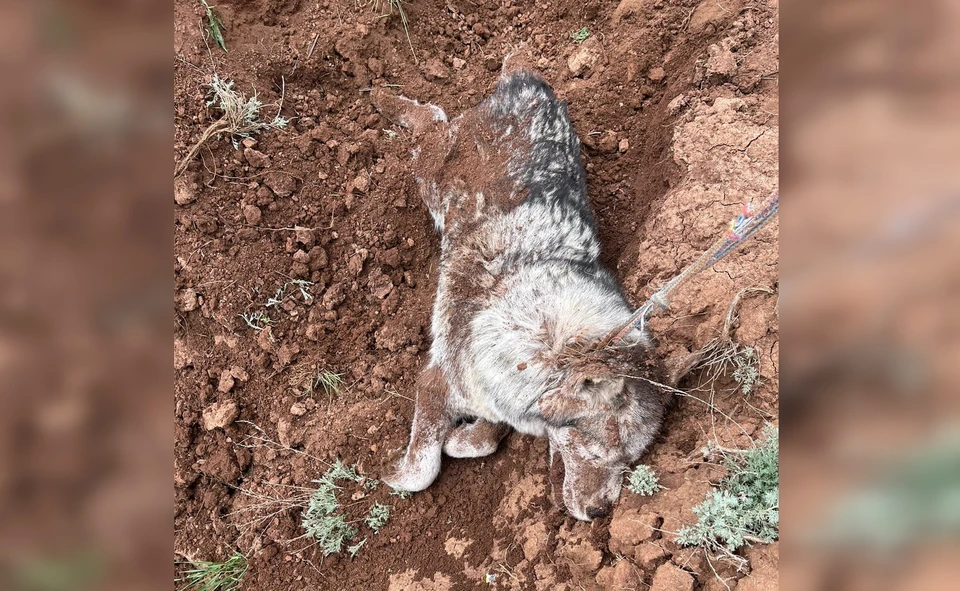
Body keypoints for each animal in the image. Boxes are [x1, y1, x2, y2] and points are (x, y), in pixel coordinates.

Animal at [374, 69, 668, 524]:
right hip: (428, 173)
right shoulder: (436, 380)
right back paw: (382, 98)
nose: (601, 512)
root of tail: (526, 81)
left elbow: (486, 437)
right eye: (593, 453)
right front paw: (398, 472)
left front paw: (464, 438)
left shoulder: (498, 399)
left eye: (630, 461)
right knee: (430, 119)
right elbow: (422, 469)